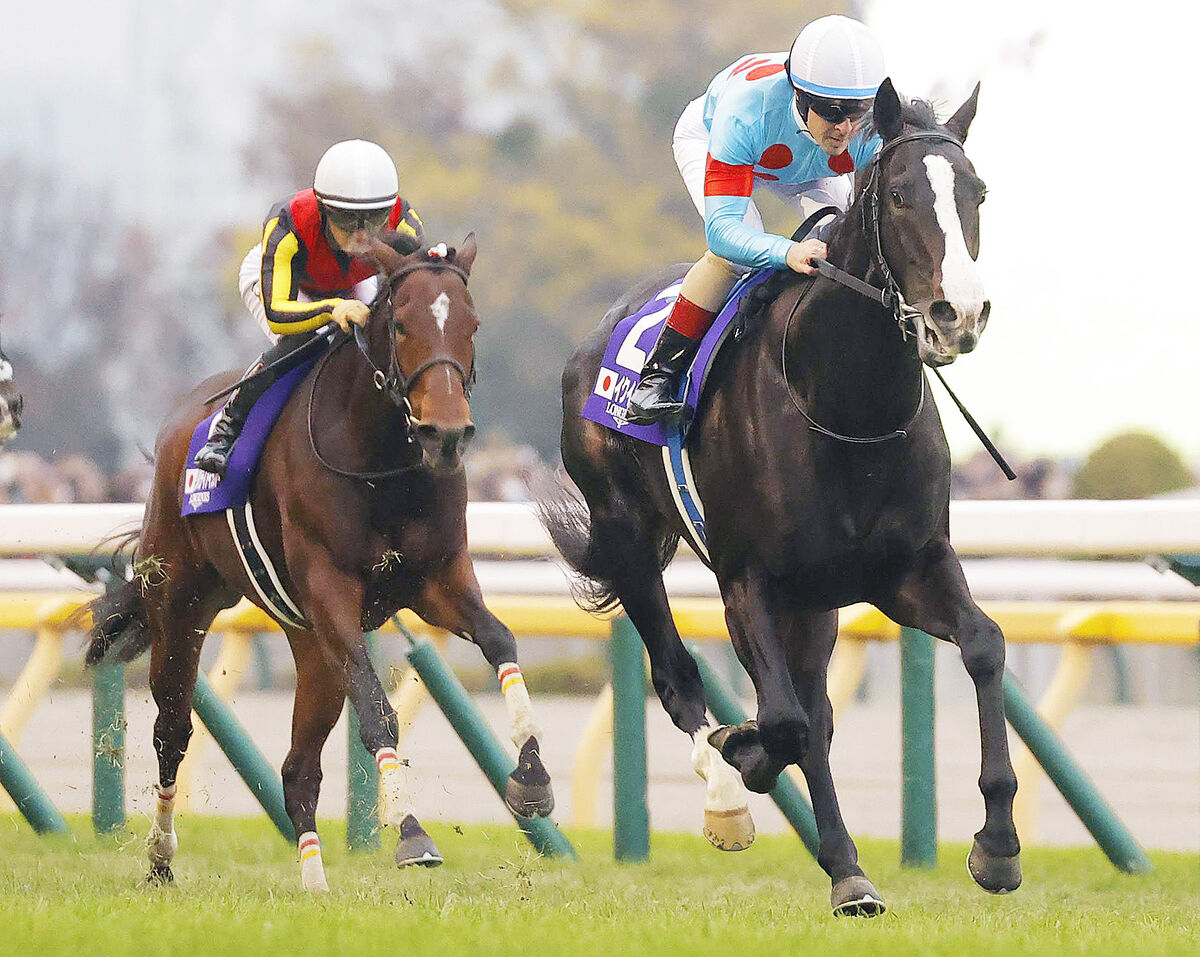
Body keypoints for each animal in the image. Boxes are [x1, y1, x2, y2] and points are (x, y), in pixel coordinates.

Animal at [87, 233, 555, 892]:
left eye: (472, 325)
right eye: (402, 324)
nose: (446, 434)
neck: (381, 463)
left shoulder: (438, 578)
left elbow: (500, 640)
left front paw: (532, 777)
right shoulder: (332, 589)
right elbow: (379, 712)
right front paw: (411, 832)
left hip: (311, 646)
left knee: (298, 768)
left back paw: (314, 882)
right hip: (180, 602)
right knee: (172, 731)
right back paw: (159, 858)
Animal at [542, 79, 1019, 916]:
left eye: (978, 192)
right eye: (900, 194)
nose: (957, 314)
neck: (846, 406)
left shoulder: (908, 567)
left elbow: (984, 645)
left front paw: (996, 843)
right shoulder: (748, 581)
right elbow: (784, 723)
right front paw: (761, 775)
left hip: (814, 603)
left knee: (813, 709)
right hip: (629, 540)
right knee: (682, 680)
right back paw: (737, 798)